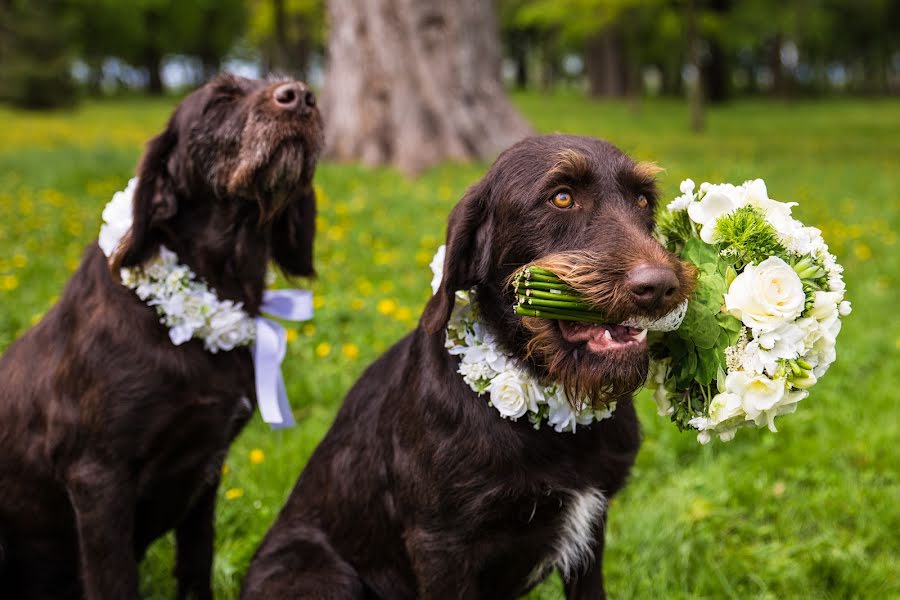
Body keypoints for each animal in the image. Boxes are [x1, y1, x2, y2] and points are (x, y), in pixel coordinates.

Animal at [0, 76, 324, 600]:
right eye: (220, 98)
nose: (301, 97)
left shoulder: (207, 467)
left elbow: (196, 562)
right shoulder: (97, 476)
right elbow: (114, 580)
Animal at [241, 136, 696, 600]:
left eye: (643, 200)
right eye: (562, 197)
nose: (661, 286)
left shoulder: (591, 527)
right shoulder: (441, 544)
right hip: (321, 574)